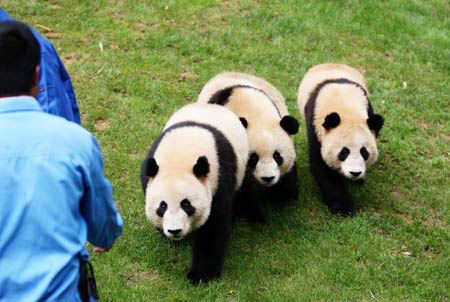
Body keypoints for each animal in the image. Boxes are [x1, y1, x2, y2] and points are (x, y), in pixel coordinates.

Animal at [140, 103, 248, 284]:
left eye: (186, 204)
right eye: (162, 206)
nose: (175, 231)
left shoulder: (219, 179)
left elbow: (213, 226)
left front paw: (201, 276)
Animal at [197, 71, 298, 222]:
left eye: (277, 156)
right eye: (253, 158)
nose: (268, 178)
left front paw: (282, 195)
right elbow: (241, 190)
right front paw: (255, 214)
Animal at [298, 63, 384, 215]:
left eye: (364, 152)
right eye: (344, 152)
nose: (355, 173)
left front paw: (358, 179)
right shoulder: (315, 125)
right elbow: (322, 166)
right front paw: (343, 208)